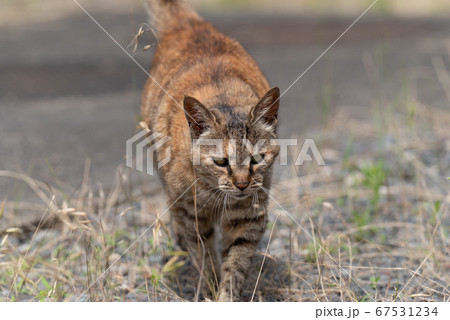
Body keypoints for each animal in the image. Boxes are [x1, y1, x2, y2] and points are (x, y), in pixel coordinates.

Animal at [142, 0, 282, 302]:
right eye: (220, 161)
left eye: (257, 159)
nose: (241, 184)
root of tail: (190, 24)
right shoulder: (190, 214)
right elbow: (204, 258)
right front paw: (209, 289)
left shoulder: (248, 216)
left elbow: (236, 264)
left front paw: (226, 296)